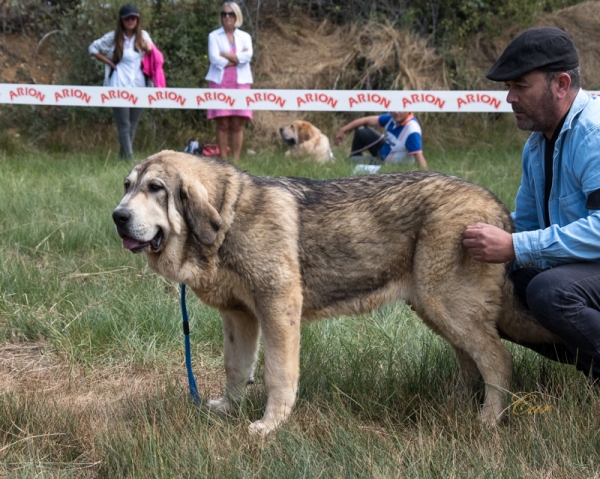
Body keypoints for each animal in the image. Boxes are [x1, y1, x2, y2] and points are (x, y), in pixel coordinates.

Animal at [113, 152, 564, 436]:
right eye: (127, 186)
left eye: (156, 188)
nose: (118, 216)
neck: (229, 217)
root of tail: (498, 208)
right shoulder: (240, 317)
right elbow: (236, 369)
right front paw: (229, 408)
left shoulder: (278, 310)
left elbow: (278, 375)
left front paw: (270, 425)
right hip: (436, 308)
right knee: (471, 361)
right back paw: (456, 406)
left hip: (448, 304)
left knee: (497, 360)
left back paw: (489, 420)